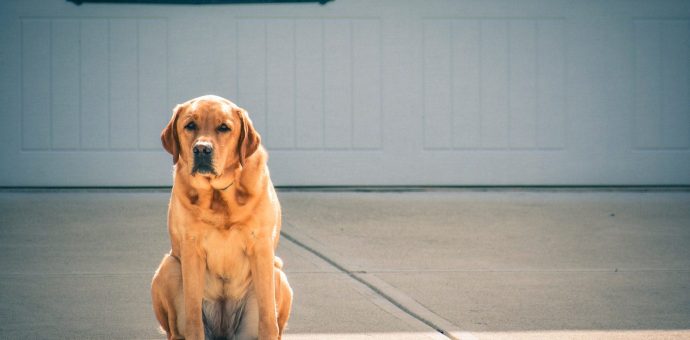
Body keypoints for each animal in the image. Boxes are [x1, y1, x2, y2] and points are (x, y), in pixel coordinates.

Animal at [150, 93, 290, 340]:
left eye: (224, 127)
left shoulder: (261, 247)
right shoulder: (191, 248)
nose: (202, 149)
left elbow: (268, 316)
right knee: (176, 330)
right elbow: (193, 315)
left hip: (278, 273)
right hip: (169, 267)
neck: (219, 195)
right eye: (190, 125)